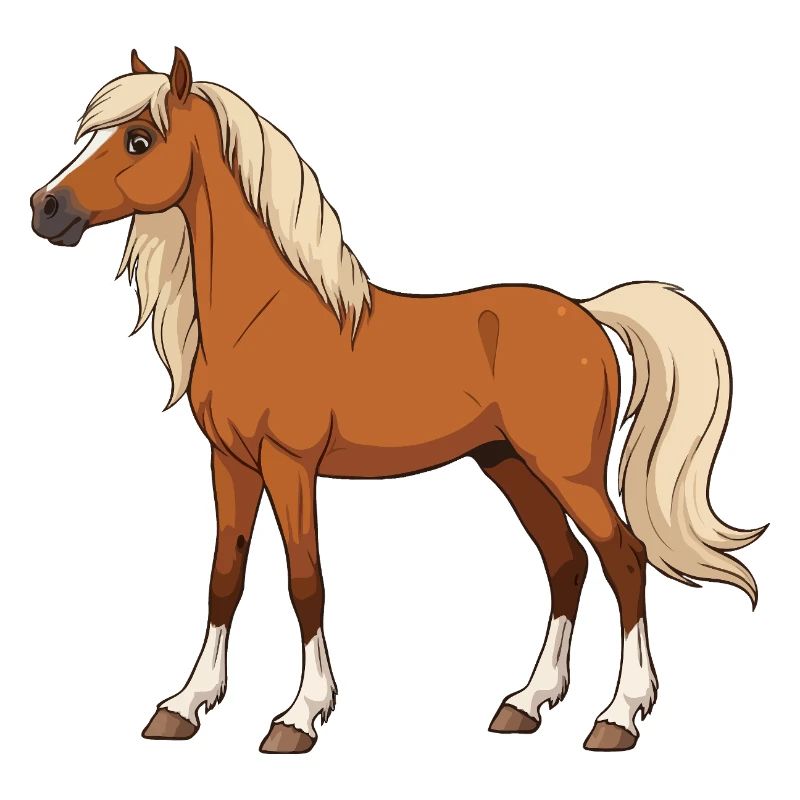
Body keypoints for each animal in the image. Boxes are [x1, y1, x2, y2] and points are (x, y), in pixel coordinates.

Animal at [30, 47, 766, 754]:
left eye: (139, 140)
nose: (45, 208)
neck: (264, 319)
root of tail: (586, 312)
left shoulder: (291, 464)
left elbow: (305, 582)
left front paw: (300, 717)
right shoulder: (230, 463)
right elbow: (223, 578)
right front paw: (184, 706)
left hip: (567, 469)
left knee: (624, 559)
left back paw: (618, 717)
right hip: (507, 464)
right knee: (566, 563)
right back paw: (526, 704)